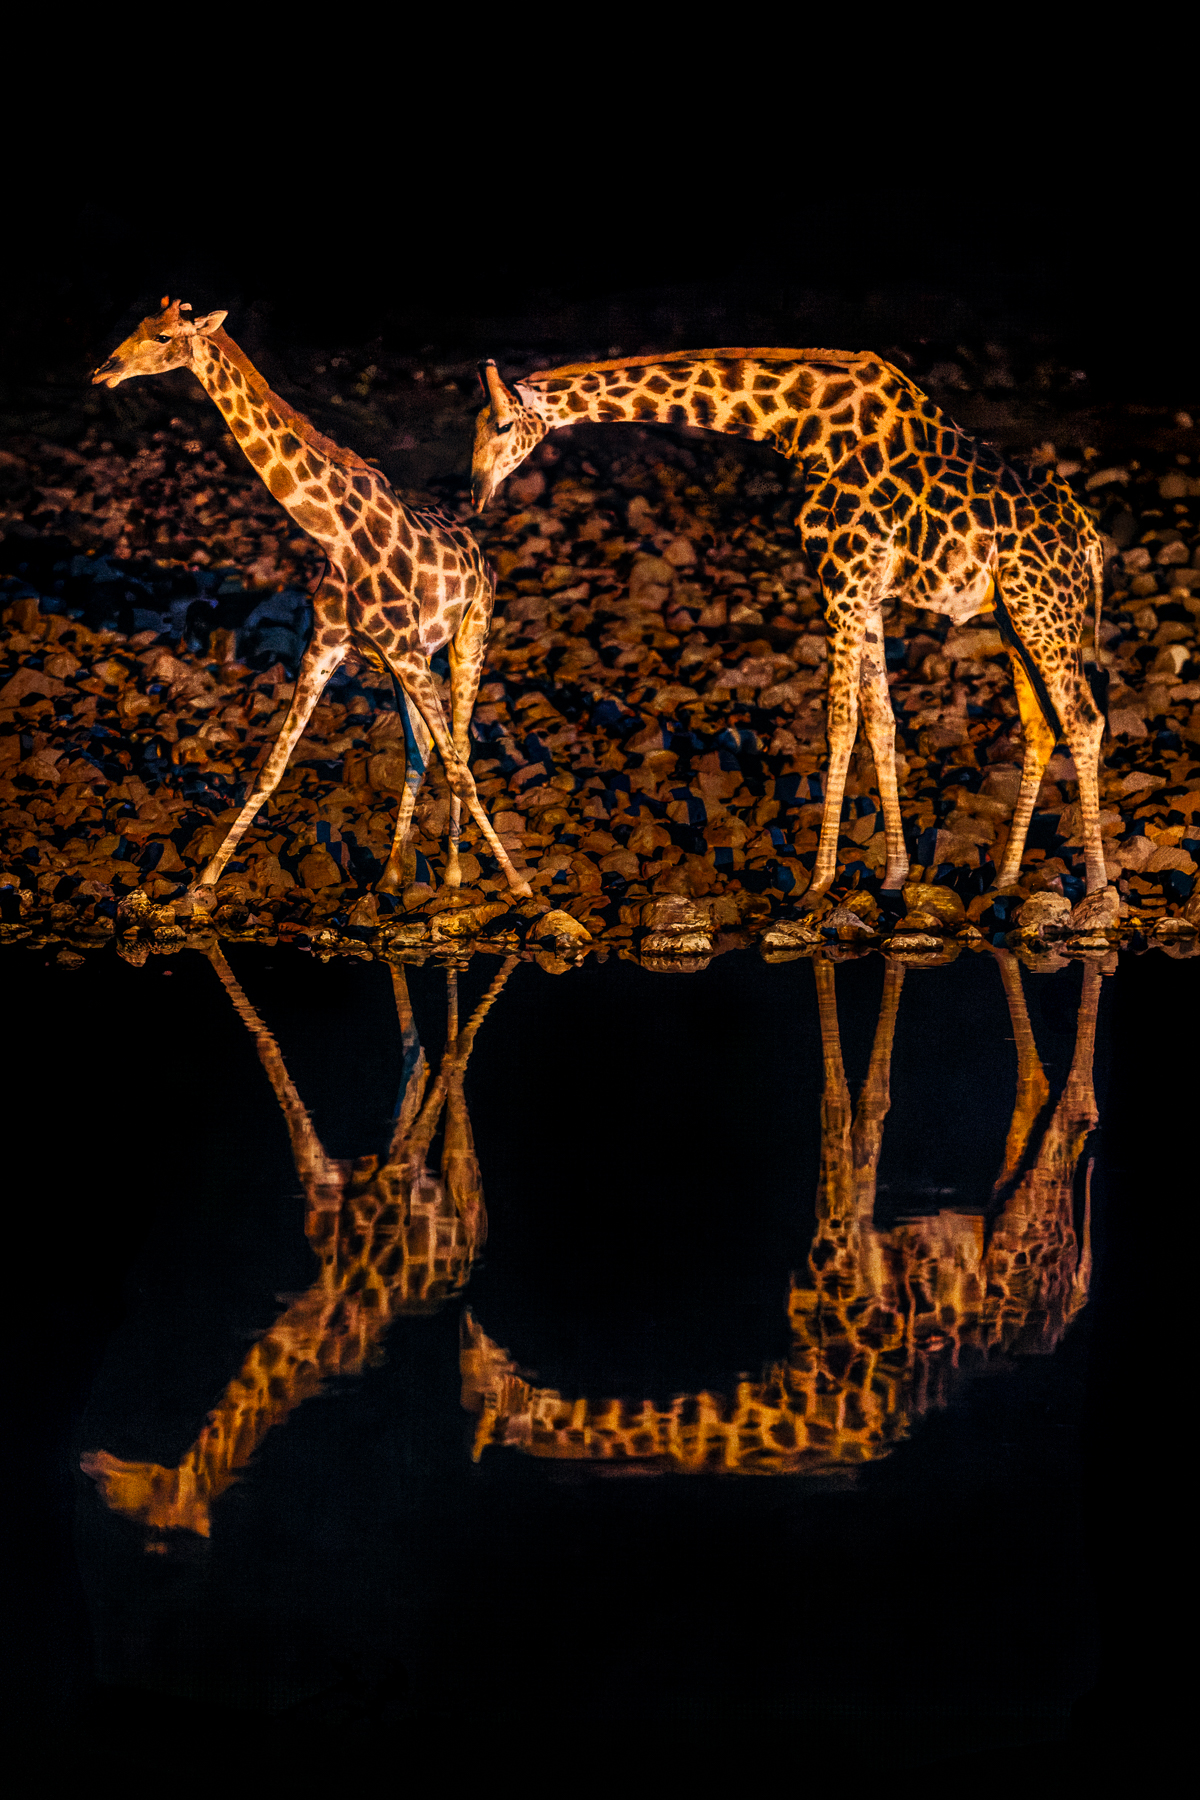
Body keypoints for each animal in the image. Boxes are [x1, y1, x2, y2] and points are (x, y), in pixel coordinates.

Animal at [81, 949, 516, 1540]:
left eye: (141, 1498)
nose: (92, 1464)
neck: (321, 1310)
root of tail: (468, 1255)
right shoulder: (334, 1176)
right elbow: (273, 1050)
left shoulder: (397, 1175)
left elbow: (447, 1060)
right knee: (421, 1059)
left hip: (461, 1199)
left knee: (451, 1067)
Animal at [91, 299, 533, 900]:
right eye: (136, 326)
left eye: (162, 337)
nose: (103, 371)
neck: (335, 536)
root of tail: (480, 553)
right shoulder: (327, 649)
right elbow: (272, 767)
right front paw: (202, 885)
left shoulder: (407, 653)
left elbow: (459, 766)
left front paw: (520, 887)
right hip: (406, 664)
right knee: (419, 751)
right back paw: (393, 872)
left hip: (469, 638)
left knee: (459, 747)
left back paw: (452, 874)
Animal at [461, 952, 1100, 1473]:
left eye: (480, 1388)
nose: (471, 1327)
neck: (785, 1402)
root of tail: (1071, 1299)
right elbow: (862, 1105)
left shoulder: (844, 1247)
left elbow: (844, 1102)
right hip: (1009, 1198)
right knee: (1035, 1094)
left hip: (1026, 1221)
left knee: (1075, 1108)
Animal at [471, 351, 1111, 913]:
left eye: (502, 424)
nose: (477, 495)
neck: (802, 429)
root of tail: (1091, 540)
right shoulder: (863, 592)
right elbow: (881, 723)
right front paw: (894, 875)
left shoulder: (843, 581)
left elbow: (839, 723)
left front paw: (817, 883)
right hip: (1015, 613)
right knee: (1040, 726)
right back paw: (1005, 879)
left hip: (1044, 609)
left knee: (1084, 719)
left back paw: (1100, 892)